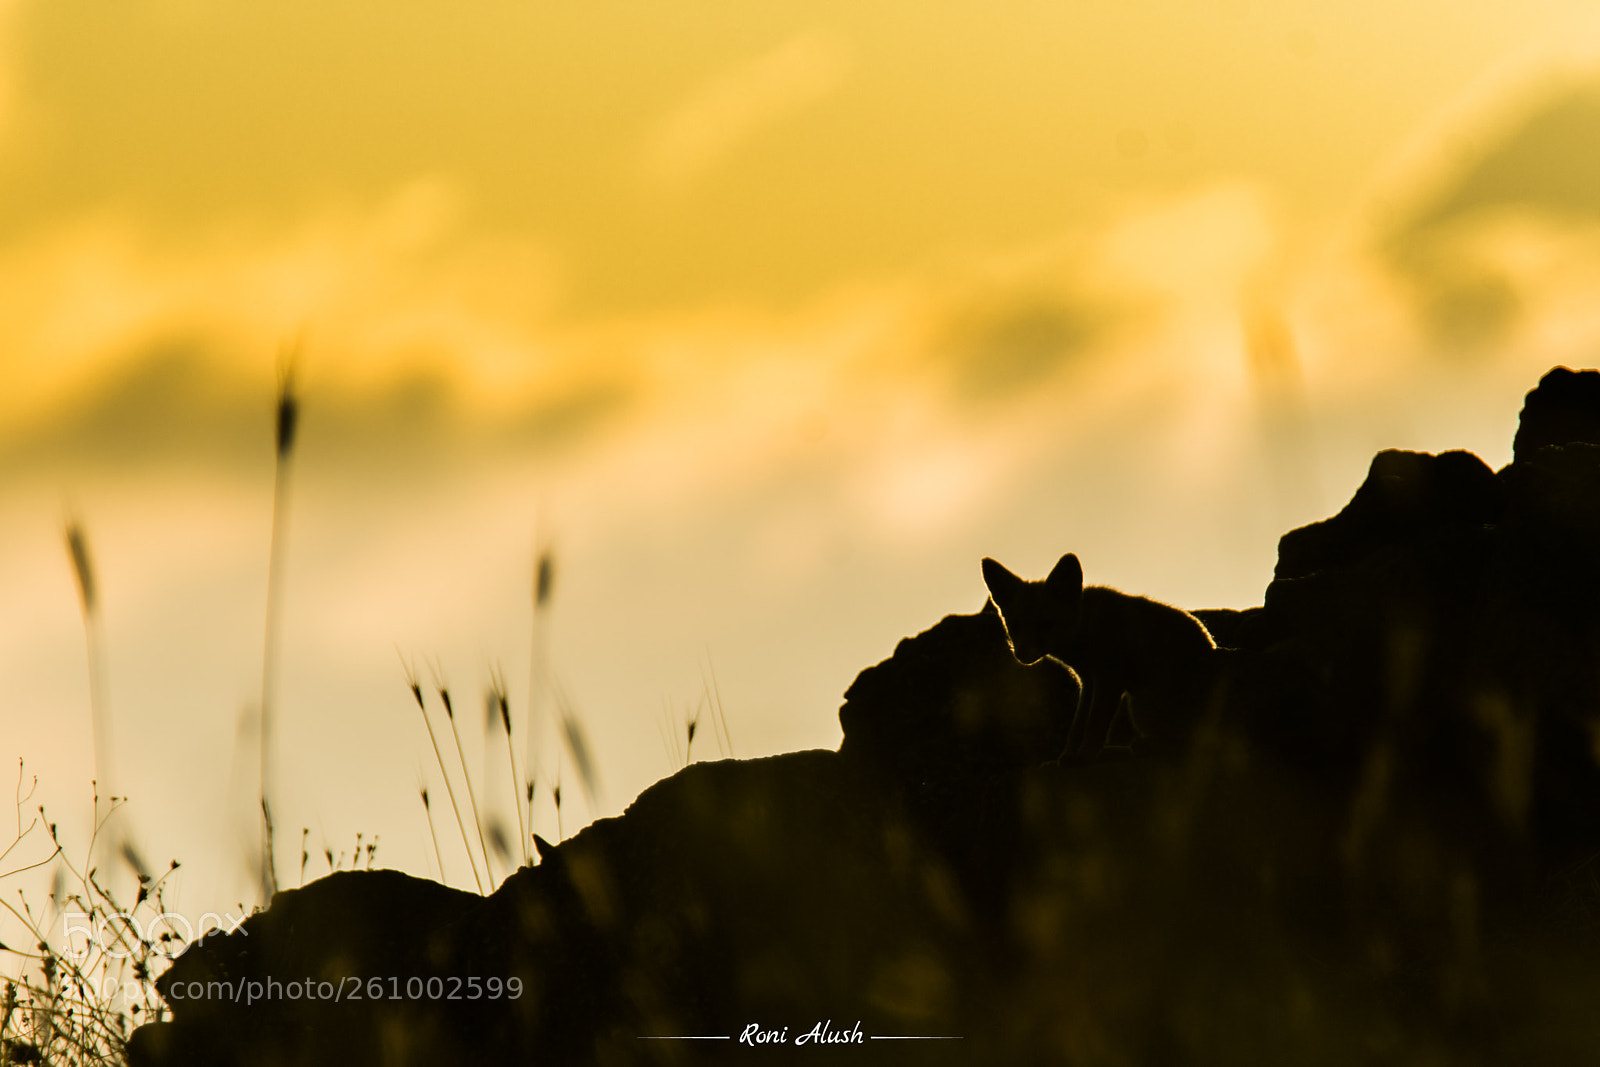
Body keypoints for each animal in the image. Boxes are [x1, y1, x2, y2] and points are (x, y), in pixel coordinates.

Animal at [981, 553, 1219, 761]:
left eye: (1045, 625)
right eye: (1015, 626)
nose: (1021, 654)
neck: (1086, 627)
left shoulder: (1109, 680)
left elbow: (1096, 725)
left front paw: (1086, 756)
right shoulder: (1088, 681)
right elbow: (1078, 726)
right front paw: (1068, 756)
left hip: (1141, 707)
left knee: (1175, 750)